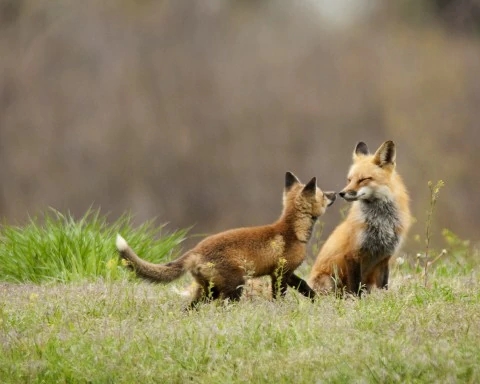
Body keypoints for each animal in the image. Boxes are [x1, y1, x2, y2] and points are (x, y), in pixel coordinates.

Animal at [116, 172, 336, 308]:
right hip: (234, 287)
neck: (292, 231)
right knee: (223, 307)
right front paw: (280, 310)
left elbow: (305, 287)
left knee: (189, 309)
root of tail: (195, 250)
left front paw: (317, 301)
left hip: (208, 291)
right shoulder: (281, 273)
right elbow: (280, 296)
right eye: (324, 195)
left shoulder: (286, 273)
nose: (336, 193)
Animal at [310, 140, 410, 294]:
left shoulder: (385, 257)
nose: (341, 193)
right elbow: (355, 287)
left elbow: (384, 286)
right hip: (329, 282)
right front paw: (355, 300)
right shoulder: (352, 254)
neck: (381, 222)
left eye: (363, 179)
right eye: (349, 180)